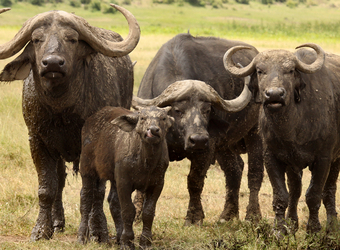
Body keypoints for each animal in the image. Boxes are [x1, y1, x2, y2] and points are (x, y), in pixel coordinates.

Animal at [0, 4, 139, 241]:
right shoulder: (36, 141)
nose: (53, 63)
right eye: (36, 39)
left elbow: (94, 191)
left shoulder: (92, 146)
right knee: (60, 180)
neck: (60, 109)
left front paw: (97, 230)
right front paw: (41, 230)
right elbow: (47, 188)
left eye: (72, 39)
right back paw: (57, 222)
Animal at [78, 105, 174, 248]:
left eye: (163, 118)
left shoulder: (158, 184)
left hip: (113, 177)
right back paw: (81, 237)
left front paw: (145, 242)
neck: (146, 162)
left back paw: (118, 237)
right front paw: (127, 242)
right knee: (86, 199)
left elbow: (148, 212)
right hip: (86, 168)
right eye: (142, 118)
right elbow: (128, 210)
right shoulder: (124, 182)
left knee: (113, 201)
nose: (153, 130)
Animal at [133, 32, 262, 226]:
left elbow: (194, 181)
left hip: (255, 132)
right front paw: (137, 215)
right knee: (235, 169)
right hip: (225, 145)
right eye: (178, 110)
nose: (199, 139)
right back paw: (227, 215)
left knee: (254, 173)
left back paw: (253, 216)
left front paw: (193, 217)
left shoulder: (206, 149)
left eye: (207, 110)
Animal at [226, 42, 340, 234]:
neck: (292, 129)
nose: (274, 94)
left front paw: (314, 230)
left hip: (336, 159)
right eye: (260, 71)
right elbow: (281, 196)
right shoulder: (272, 157)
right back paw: (292, 224)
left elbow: (314, 195)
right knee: (295, 190)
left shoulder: (323, 158)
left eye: (290, 70)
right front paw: (279, 231)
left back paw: (331, 227)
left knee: (329, 190)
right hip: (293, 165)